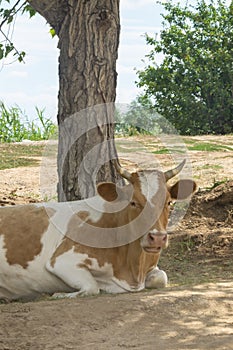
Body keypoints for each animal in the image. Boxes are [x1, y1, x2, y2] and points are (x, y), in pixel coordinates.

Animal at [0, 161, 196, 300]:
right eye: (133, 202)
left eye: (169, 202)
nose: (157, 238)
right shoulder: (62, 260)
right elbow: (92, 287)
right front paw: (59, 294)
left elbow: (161, 277)